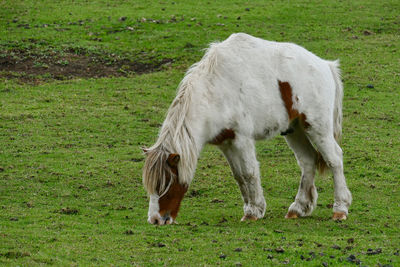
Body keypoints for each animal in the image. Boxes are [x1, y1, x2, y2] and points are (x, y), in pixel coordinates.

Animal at [142, 33, 352, 226]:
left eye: (166, 184)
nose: (155, 219)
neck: (214, 91)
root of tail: (326, 65)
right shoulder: (226, 143)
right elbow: (239, 176)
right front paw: (251, 208)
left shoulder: (242, 139)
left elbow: (250, 172)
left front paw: (254, 211)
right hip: (295, 130)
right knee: (308, 161)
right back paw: (298, 208)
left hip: (317, 128)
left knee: (334, 159)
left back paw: (340, 209)